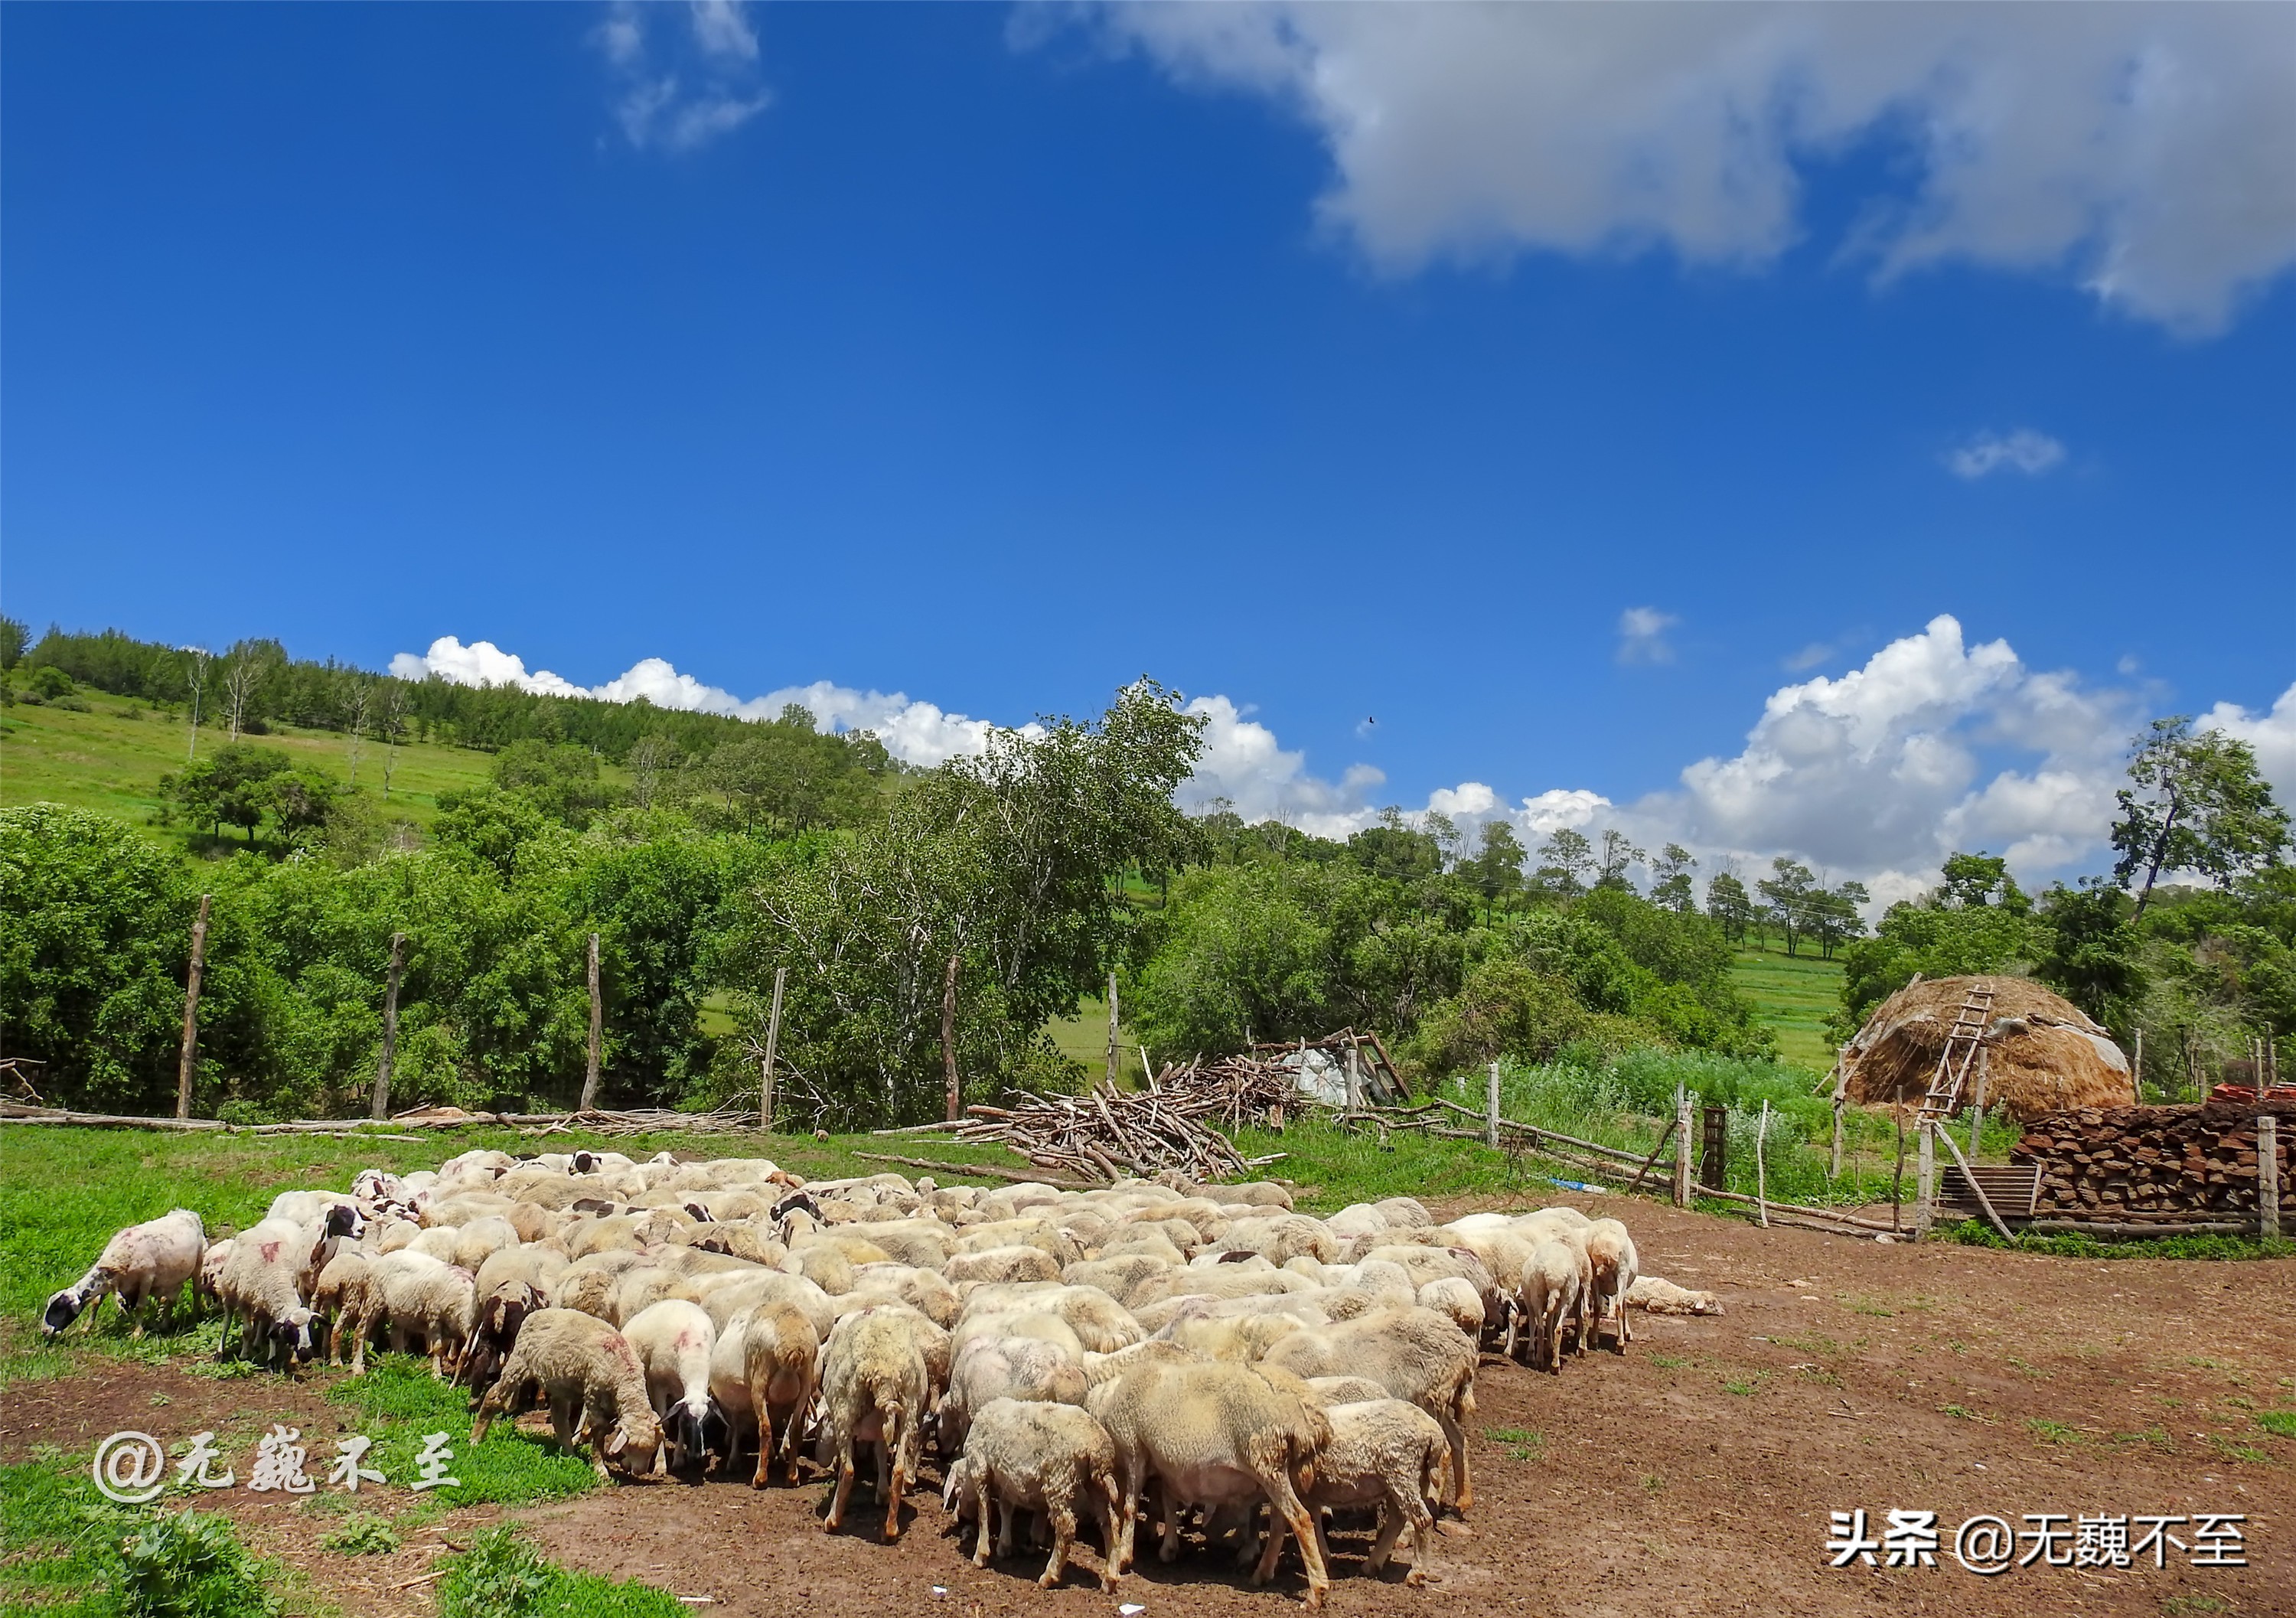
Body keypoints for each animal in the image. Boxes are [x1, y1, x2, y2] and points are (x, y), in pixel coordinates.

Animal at [43, 1202, 207, 1331]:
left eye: (59, 1309)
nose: (44, 1332)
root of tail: (187, 1213)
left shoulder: (147, 1278)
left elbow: (140, 1306)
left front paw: (137, 1333)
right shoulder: (110, 1281)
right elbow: (96, 1303)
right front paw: (86, 1329)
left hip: (198, 1264)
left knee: (196, 1291)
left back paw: (194, 1317)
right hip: (173, 1279)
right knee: (170, 1299)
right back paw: (163, 1323)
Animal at [951, 1395, 1120, 1588]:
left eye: (958, 1492)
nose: (961, 1518)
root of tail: (1097, 1446)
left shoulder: (981, 1469)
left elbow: (984, 1512)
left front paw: (981, 1554)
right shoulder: (1006, 1480)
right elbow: (1006, 1509)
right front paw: (1004, 1546)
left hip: (1060, 1479)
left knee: (1066, 1528)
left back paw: (1049, 1575)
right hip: (1096, 1485)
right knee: (1110, 1523)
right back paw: (1110, 1578)